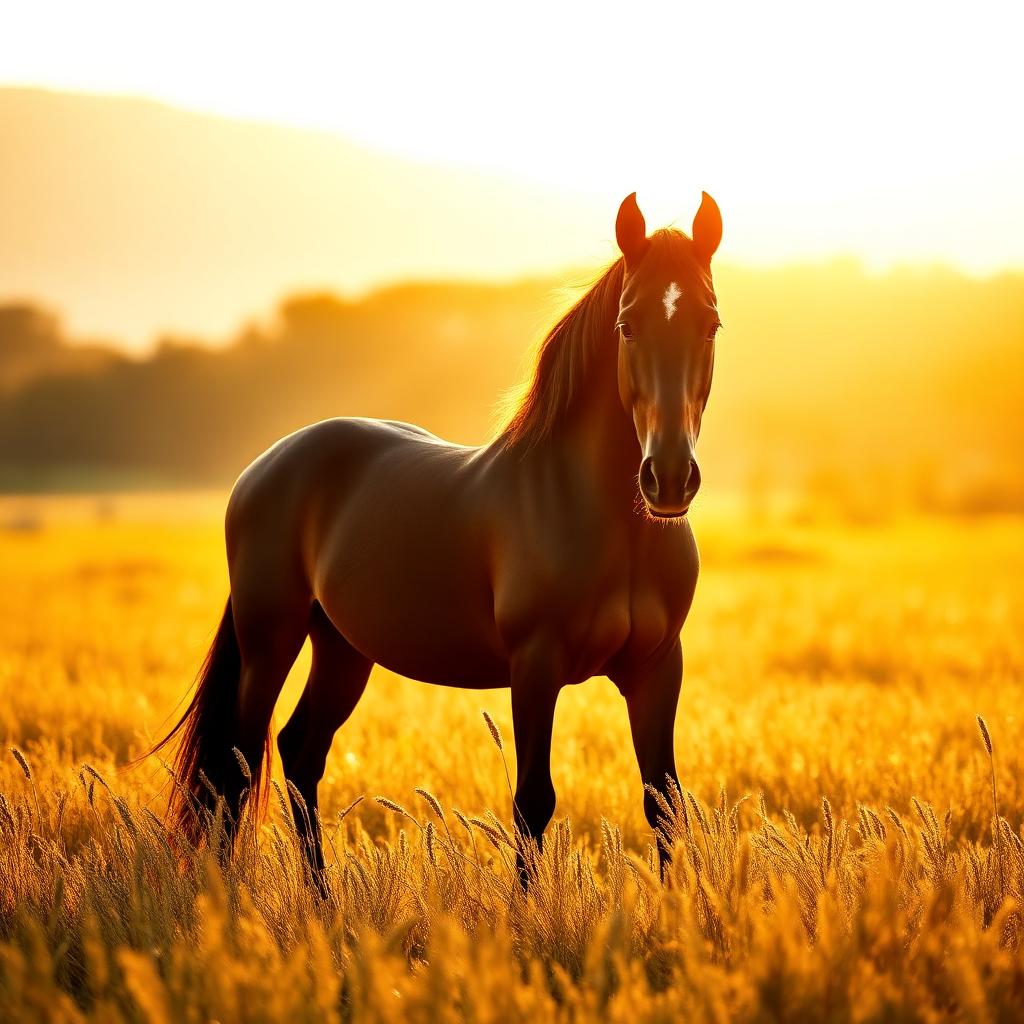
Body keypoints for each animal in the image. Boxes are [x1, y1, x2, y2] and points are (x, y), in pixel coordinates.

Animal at [152, 191, 723, 889]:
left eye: (710, 324)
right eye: (627, 326)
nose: (667, 478)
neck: (604, 520)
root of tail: (266, 465)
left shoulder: (658, 668)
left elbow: (662, 801)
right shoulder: (536, 665)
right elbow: (533, 803)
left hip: (341, 648)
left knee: (299, 749)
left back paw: (322, 900)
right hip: (271, 639)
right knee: (236, 763)